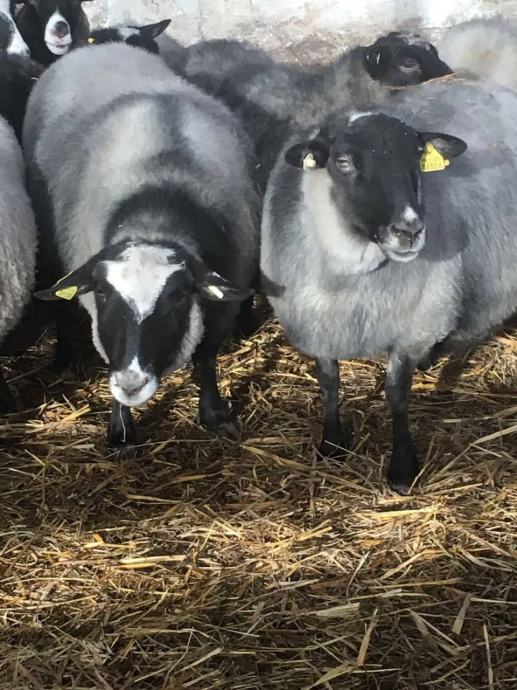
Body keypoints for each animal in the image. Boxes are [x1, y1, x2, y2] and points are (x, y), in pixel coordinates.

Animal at [24, 43, 259, 451]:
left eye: (178, 297)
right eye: (103, 293)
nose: (132, 384)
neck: (159, 208)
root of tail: (99, 47)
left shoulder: (221, 304)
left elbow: (206, 358)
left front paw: (214, 415)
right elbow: (109, 358)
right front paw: (120, 431)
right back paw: (65, 357)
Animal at [261, 76, 517, 493]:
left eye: (417, 157)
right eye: (343, 162)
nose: (409, 230)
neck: (353, 275)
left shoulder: (413, 325)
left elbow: (397, 395)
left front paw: (402, 468)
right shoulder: (319, 323)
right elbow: (329, 382)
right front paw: (332, 443)